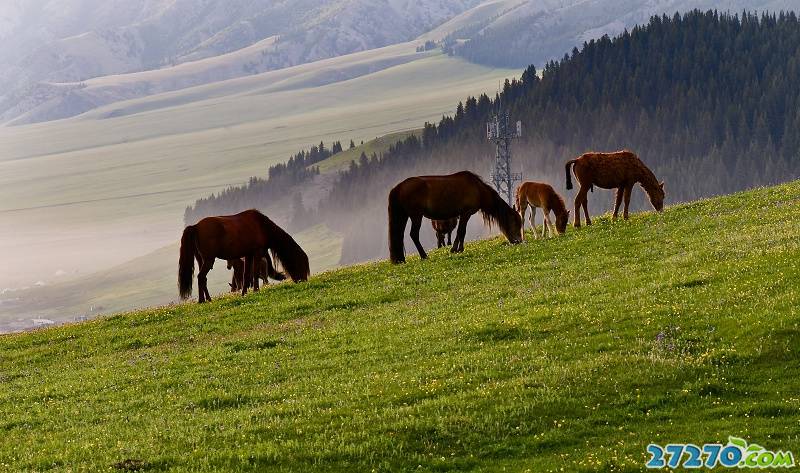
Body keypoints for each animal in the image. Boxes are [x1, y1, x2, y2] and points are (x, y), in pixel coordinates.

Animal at [179, 209, 310, 302]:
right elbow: (255, 273)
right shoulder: (257, 252)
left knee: (204, 278)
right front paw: (256, 290)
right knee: (201, 277)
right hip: (208, 259)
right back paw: (202, 300)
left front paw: (245, 292)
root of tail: (195, 226)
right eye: (301, 264)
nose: (304, 280)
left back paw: (208, 299)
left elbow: (246, 275)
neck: (262, 226)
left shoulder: (248, 255)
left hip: (201, 260)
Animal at [390, 170, 524, 262]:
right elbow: (461, 231)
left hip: (404, 216)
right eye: (516, 223)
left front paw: (458, 248)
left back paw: (401, 259)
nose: (519, 241)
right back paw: (424, 256)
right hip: (416, 216)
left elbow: (461, 232)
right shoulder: (466, 213)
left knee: (400, 235)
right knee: (414, 235)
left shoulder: (463, 215)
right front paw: (456, 249)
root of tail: (400, 186)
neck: (478, 189)